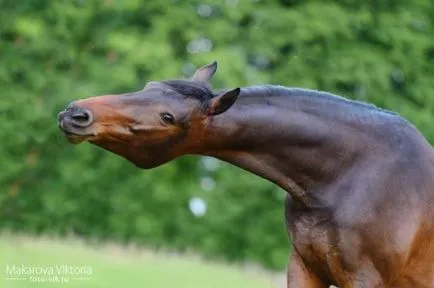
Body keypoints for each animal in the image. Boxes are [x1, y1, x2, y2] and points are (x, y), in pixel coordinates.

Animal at [57, 62, 434, 286]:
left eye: (168, 117)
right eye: (148, 84)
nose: (75, 113)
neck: (349, 175)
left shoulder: (365, 279)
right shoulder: (304, 268)